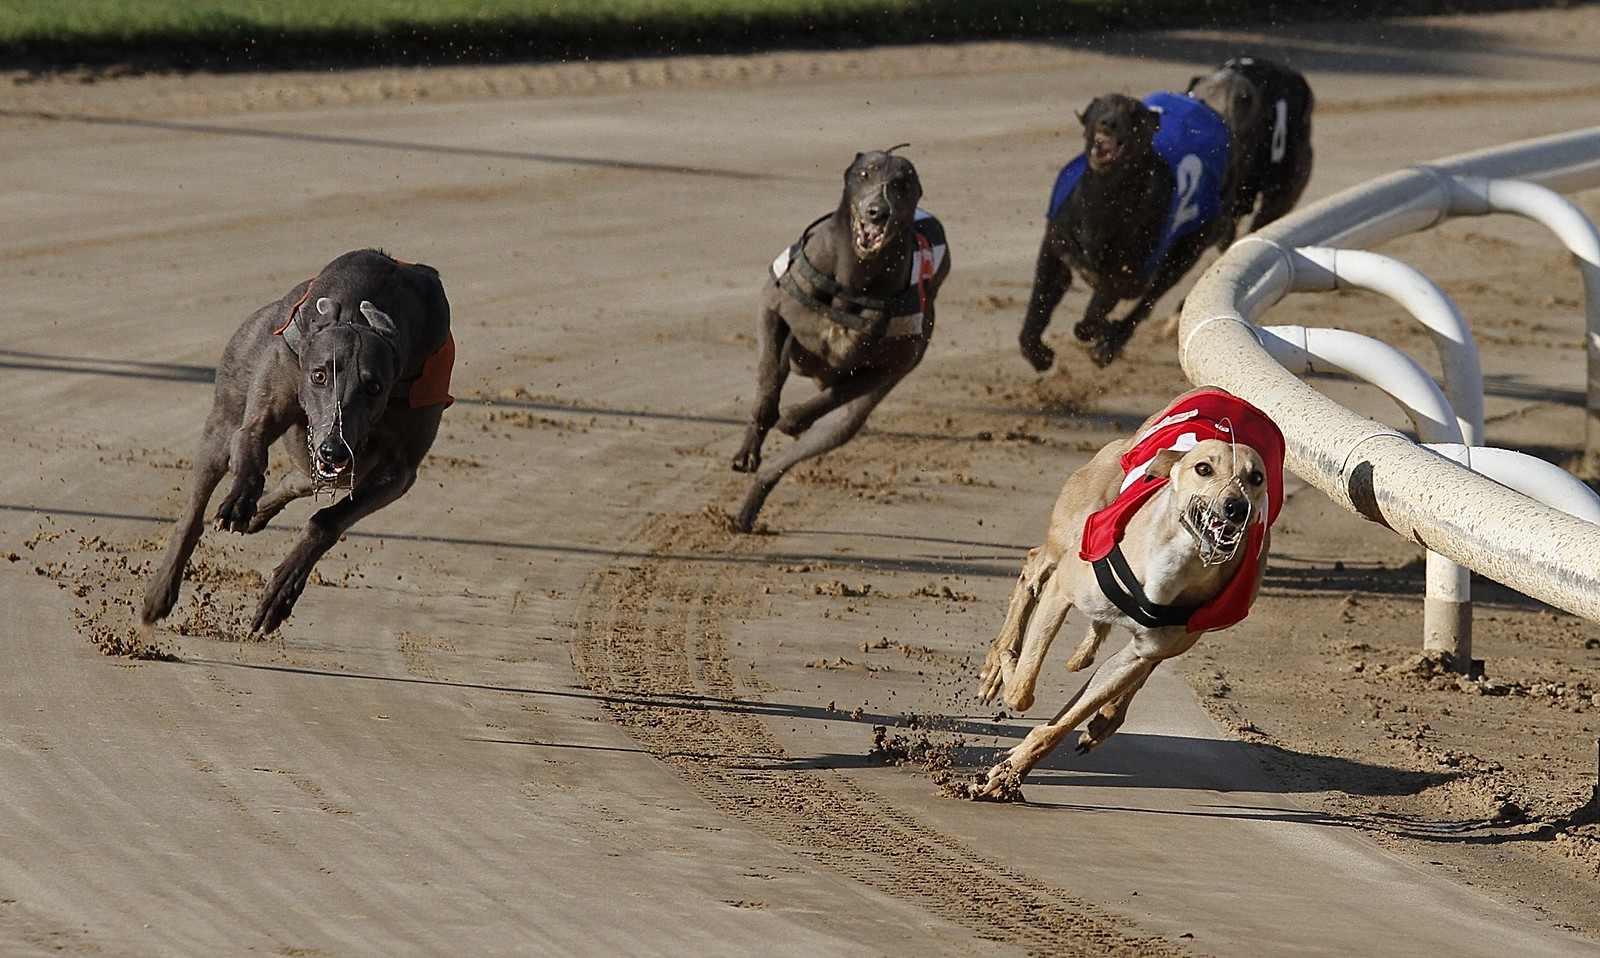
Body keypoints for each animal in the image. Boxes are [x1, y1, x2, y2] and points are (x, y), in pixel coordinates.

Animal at [141, 247, 454, 636]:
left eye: (374, 386)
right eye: (318, 375)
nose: (334, 449)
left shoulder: (399, 469)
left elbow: (327, 520)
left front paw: (280, 592)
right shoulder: (269, 402)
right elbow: (251, 444)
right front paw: (239, 501)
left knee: (300, 478)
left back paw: (262, 513)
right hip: (226, 411)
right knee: (196, 506)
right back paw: (160, 593)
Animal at [729, 150, 940, 530]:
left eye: (903, 183)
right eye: (865, 173)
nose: (877, 210)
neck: (854, 279)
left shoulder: (893, 365)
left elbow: (835, 396)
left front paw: (793, 418)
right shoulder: (772, 305)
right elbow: (768, 376)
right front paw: (762, 424)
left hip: (840, 424)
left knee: (794, 453)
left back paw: (748, 509)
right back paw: (749, 455)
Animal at [960, 388, 1286, 802]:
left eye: (1256, 477)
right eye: (1203, 469)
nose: (1236, 507)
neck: (1175, 567)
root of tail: (1229, 396)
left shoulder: (1136, 655)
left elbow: (1061, 722)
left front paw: (1008, 774)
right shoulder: (1062, 590)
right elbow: (1022, 692)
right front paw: (1007, 665)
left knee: (1143, 668)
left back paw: (1103, 716)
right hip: (1073, 529)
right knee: (1034, 565)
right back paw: (998, 661)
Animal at [1017, 91, 1228, 372]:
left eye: (1135, 114)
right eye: (1103, 105)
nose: (1108, 123)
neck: (1105, 203)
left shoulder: (1128, 277)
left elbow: (1100, 310)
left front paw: (1104, 335)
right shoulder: (1056, 248)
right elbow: (1041, 299)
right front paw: (1037, 352)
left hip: (1186, 253)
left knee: (1148, 302)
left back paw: (1111, 343)